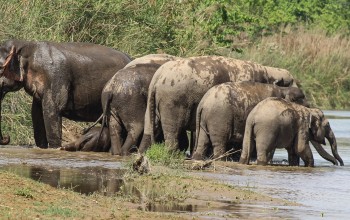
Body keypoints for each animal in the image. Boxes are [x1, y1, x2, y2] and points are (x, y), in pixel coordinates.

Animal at [0, 40, 131, 149]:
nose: (7, 137)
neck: (26, 45)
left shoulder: (55, 77)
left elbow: (52, 111)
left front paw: (55, 149)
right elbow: (36, 113)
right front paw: (42, 148)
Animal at [139, 55, 298, 154]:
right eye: (290, 82)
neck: (268, 70)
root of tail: (158, 77)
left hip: (156, 100)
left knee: (151, 126)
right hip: (173, 100)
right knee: (172, 129)